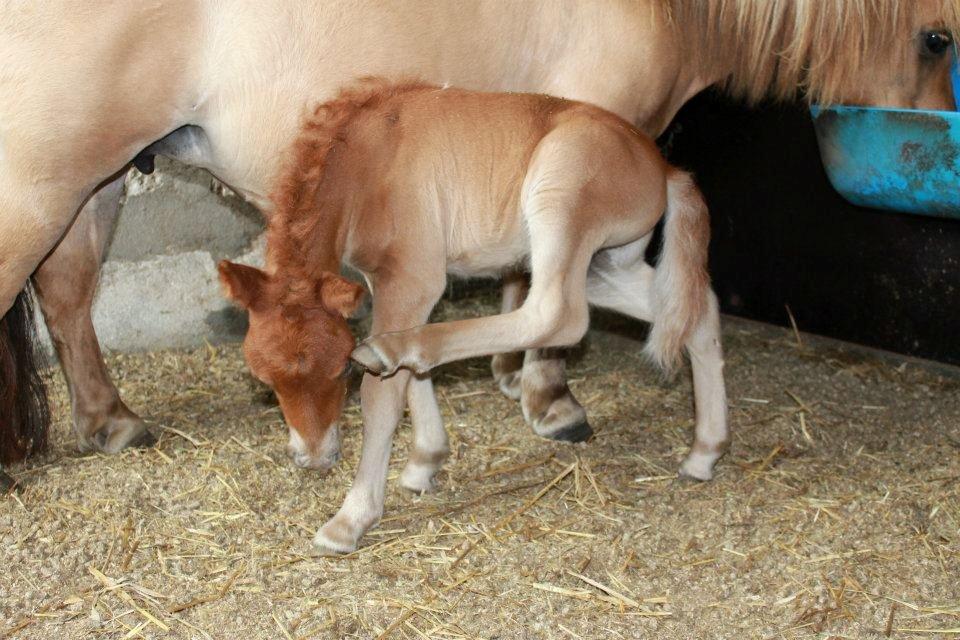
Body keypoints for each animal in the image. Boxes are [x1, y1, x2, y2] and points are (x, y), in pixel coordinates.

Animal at [1, 2, 960, 468]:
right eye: (937, 36)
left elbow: (521, 274)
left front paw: (506, 377)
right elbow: (546, 299)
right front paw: (548, 396)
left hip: (96, 182)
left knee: (67, 292)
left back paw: (112, 421)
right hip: (46, 180)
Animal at [219, 77, 728, 552]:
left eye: (340, 372)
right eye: (265, 380)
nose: (314, 459)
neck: (370, 160)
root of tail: (663, 166)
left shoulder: (414, 277)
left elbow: (383, 395)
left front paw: (352, 518)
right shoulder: (385, 283)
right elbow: (414, 379)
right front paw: (425, 460)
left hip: (561, 193)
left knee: (557, 314)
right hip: (606, 265)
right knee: (693, 310)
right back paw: (704, 453)